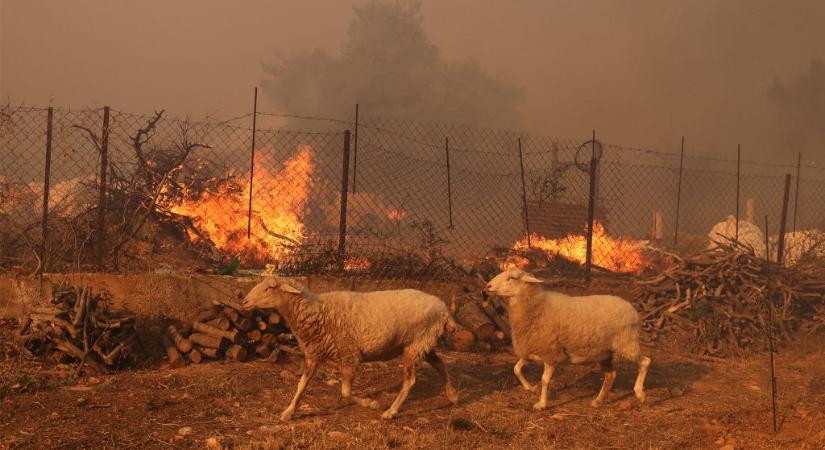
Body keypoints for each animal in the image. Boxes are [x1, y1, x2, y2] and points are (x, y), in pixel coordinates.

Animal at [240, 274, 458, 422]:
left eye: (269, 288)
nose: (244, 302)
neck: (317, 310)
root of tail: (444, 310)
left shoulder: (349, 355)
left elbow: (345, 393)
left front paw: (371, 403)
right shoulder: (313, 355)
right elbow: (301, 385)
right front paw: (288, 412)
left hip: (415, 345)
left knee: (410, 380)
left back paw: (390, 411)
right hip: (423, 343)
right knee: (441, 364)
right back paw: (452, 396)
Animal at [482, 268, 652, 412]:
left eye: (512, 278)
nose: (487, 286)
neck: (537, 307)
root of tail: (633, 310)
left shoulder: (551, 354)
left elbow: (545, 380)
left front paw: (541, 404)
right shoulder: (532, 350)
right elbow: (516, 369)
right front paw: (530, 387)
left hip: (627, 343)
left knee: (645, 362)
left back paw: (640, 394)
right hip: (604, 353)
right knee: (611, 375)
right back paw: (598, 401)